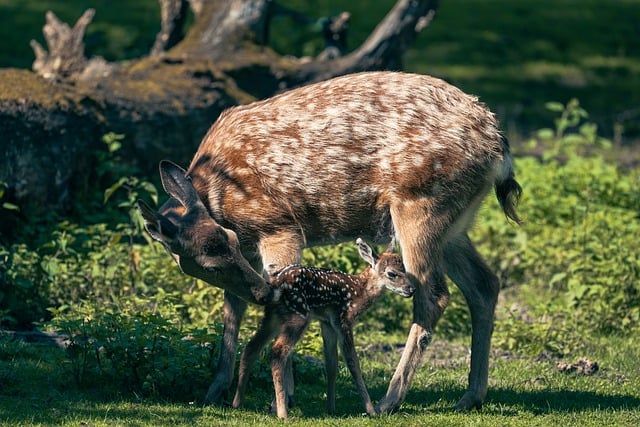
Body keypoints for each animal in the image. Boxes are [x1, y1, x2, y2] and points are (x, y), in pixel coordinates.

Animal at [232, 239, 412, 420]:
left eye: (405, 268)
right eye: (392, 273)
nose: (411, 289)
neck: (359, 292)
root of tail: (276, 284)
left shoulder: (327, 323)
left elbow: (331, 364)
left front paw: (331, 408)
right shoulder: (343, 319)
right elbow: (353, 363)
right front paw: (371, 410)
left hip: (273, 316)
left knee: (251, 347)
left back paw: (237, 402)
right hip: (298, 314)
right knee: (277, 352)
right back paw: (283, 413)